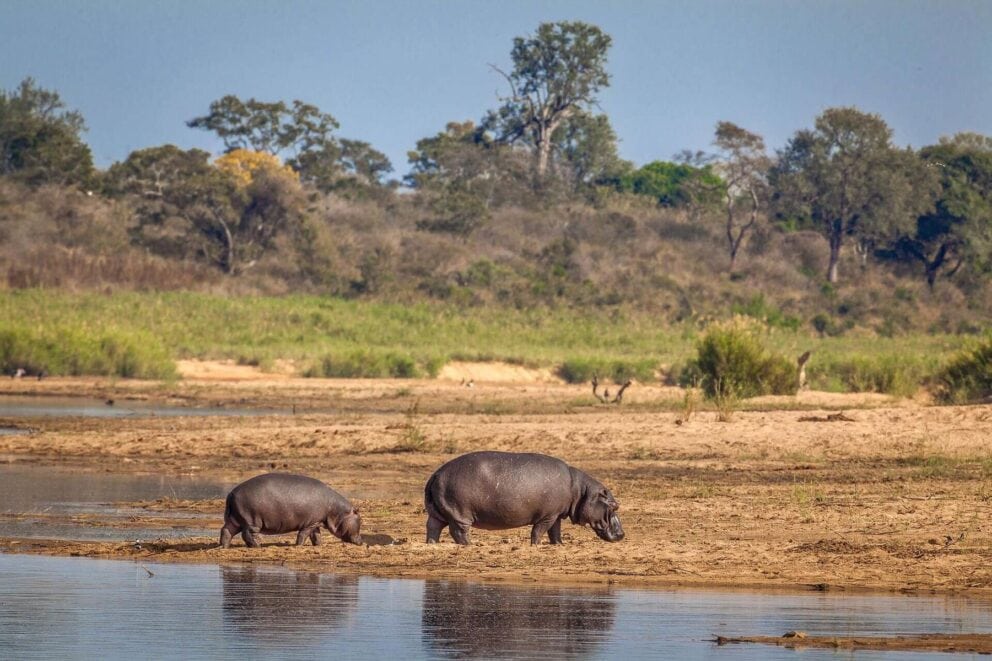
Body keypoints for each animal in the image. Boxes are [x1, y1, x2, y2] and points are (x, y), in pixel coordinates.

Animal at [219, 473, 362, 548]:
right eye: (359, 519)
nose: (361, 541)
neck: (337, 511)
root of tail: (231, 493)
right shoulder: (310, 523)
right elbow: (303, 534)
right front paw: (298, 546)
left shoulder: (316, 522)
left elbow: (316, 536)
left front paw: (319, 546)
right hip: (251, 520)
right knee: (247, 534)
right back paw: (258, 546)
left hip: (235, 520)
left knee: (226, 531)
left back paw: (224, 546)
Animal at [424, 451, 624, 545]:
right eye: (614, 505)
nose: (622, 534)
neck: (580, 491)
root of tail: (436, 474)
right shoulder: (547, 516)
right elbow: (539, 531)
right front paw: (536, 545)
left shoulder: (556, 515)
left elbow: (555, 532)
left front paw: (559, 545)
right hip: (460, 514)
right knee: (459, 532)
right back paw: (470, 545)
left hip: (439, 512)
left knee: (433, 527)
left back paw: (432, 544)